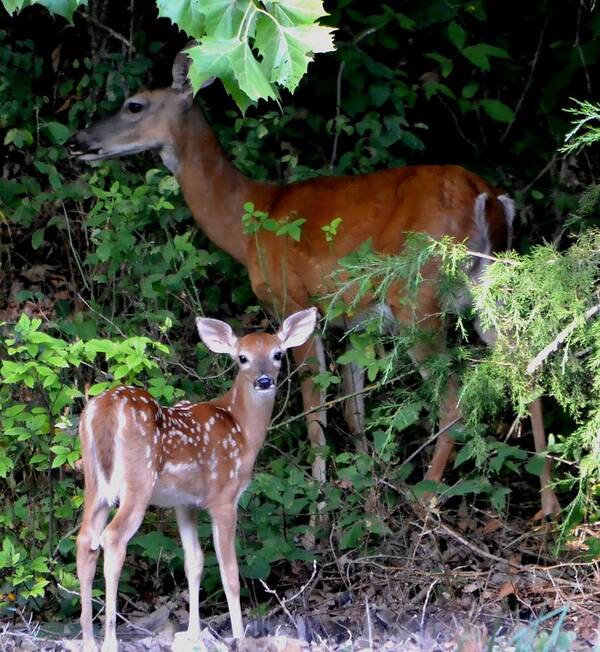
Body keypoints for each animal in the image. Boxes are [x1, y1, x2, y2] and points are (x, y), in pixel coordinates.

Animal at [70, 44, 564, 520]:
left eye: (134, 104)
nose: (79, 142)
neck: (249, 223)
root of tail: (487, 197)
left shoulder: (291, 300)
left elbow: (316, 409)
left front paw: (319, 513)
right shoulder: (352, 321)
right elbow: (353, 409)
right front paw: (366, 493)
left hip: (418, 297)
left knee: (454, 399)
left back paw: (426, 501)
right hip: (488, 286)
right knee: (527, 365)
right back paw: (549, 504)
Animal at [77, 308, 316, 648]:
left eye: (278, 354)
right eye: (242, 357)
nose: (264, 380)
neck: (242, 430)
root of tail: (105, 409)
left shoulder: (184, 503)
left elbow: (195, 562)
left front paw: (192, 634)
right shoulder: (224, 497)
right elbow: (229, 572)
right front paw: (239, 637)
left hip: (94, 483)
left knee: (86, 540)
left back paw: (88, 640)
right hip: (138, 480)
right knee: (112, 538)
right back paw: (109, 640)